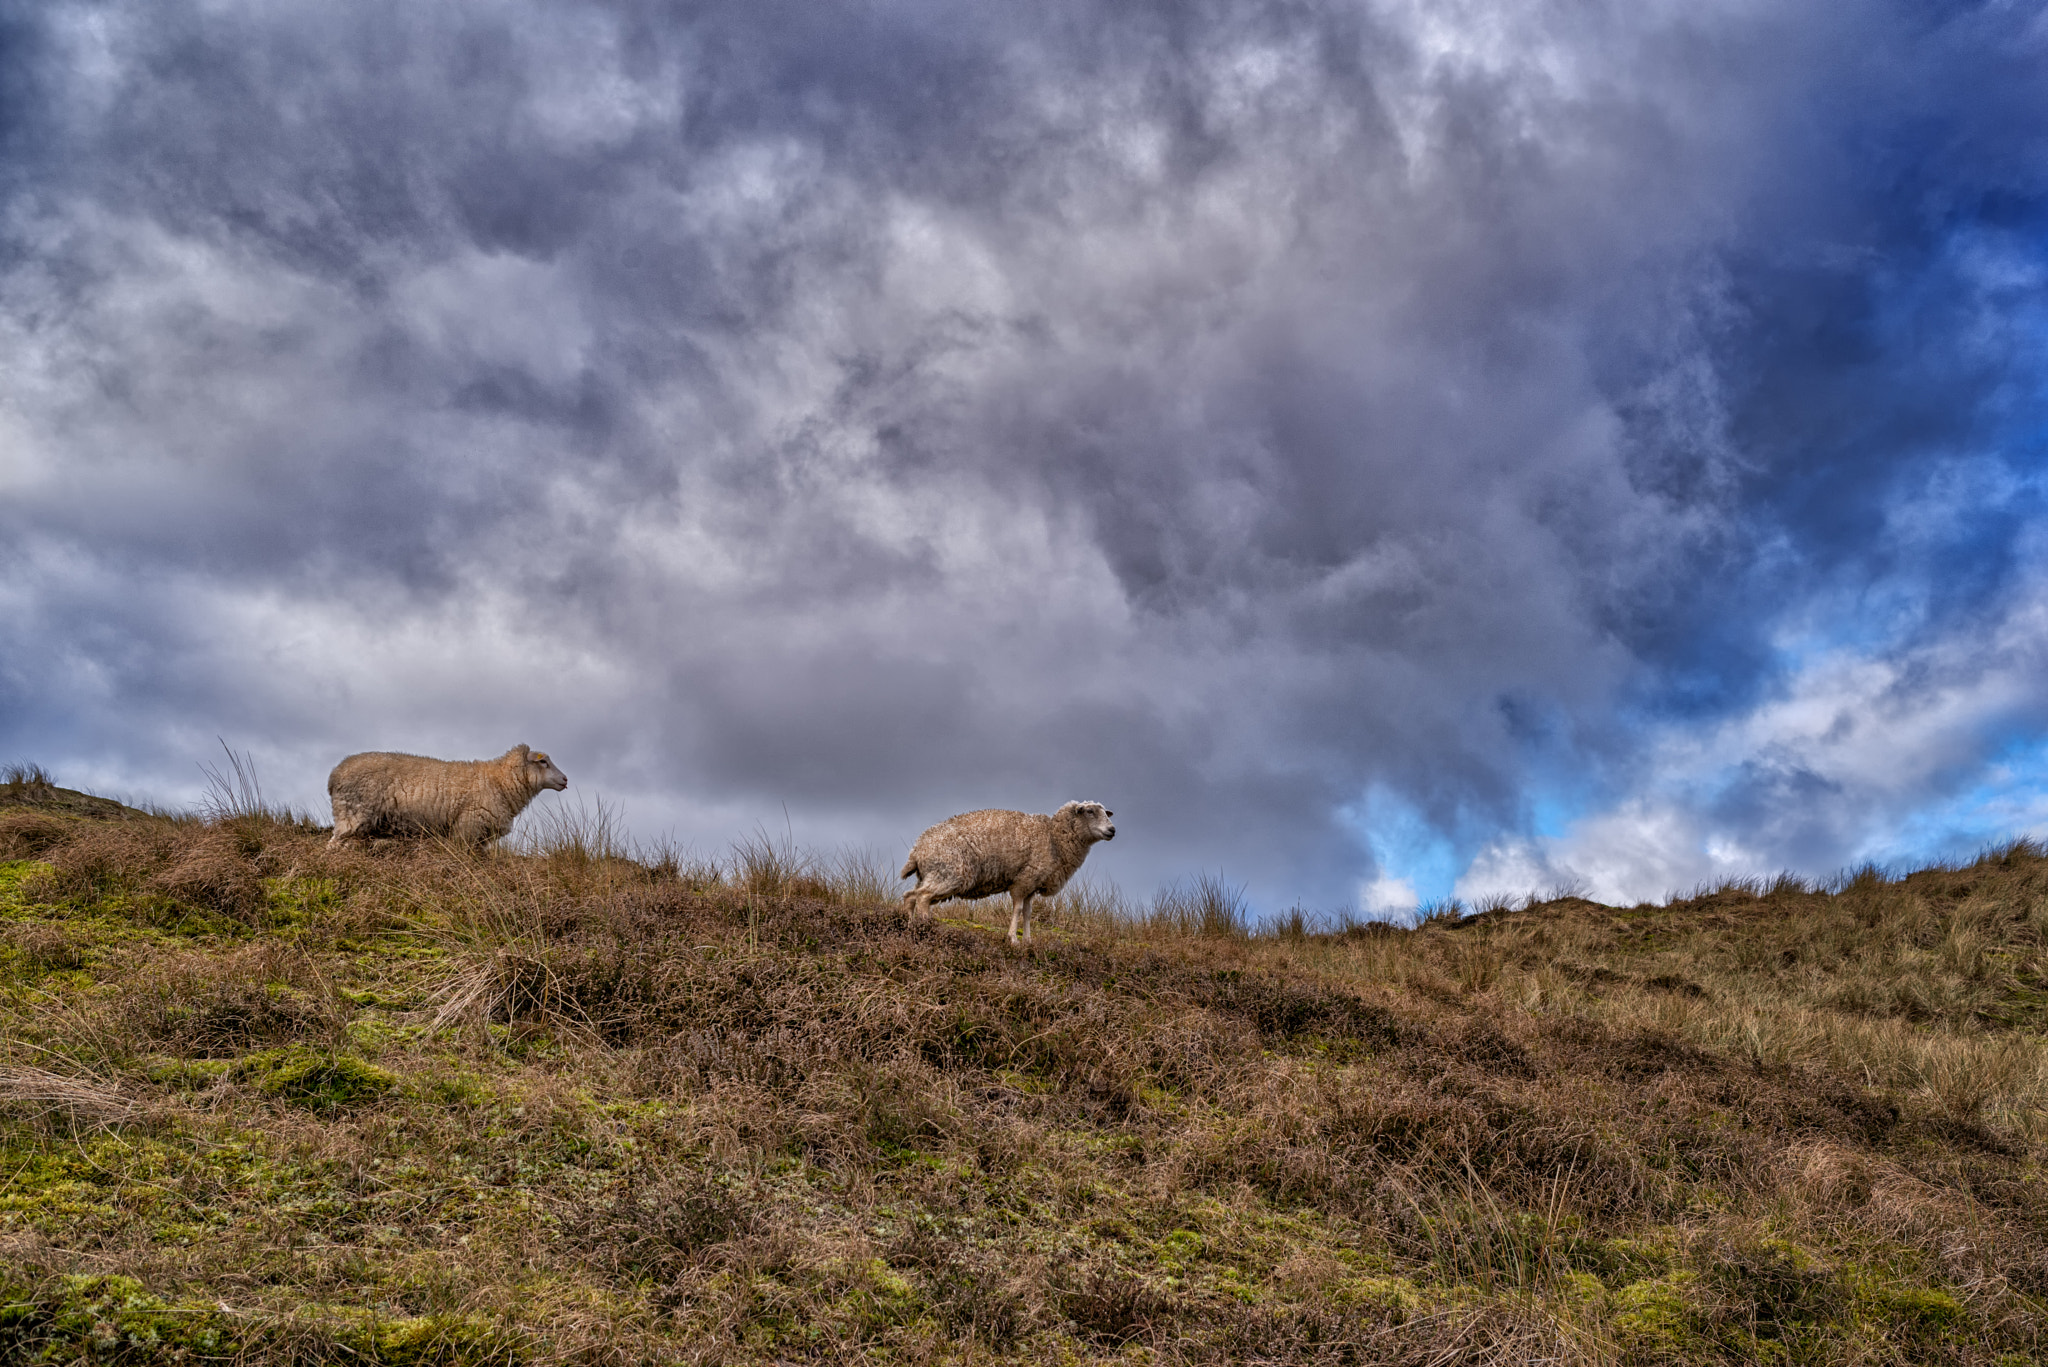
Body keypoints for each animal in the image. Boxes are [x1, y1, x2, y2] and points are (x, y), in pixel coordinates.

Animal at [329, 741, 569, 848]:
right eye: (543, 762)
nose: (565, 780)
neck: (500, 782)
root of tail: (335, 773)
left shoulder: (480, 839)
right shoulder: (467, 829)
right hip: (352, 815)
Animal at [901, 803, 1122, 950]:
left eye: (1106, 813)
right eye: (1090, 812)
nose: (1112, 830)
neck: (1054, 838)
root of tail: (917, 850)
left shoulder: (1032, 885)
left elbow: (1028, 913)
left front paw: (1028, 940)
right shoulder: (1023, 881)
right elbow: (1017, 910)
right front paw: (1013, 939)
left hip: (932, 874)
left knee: (910, 896)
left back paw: (911, 926)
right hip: (949, 873)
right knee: (922, 897)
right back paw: (927, 928)